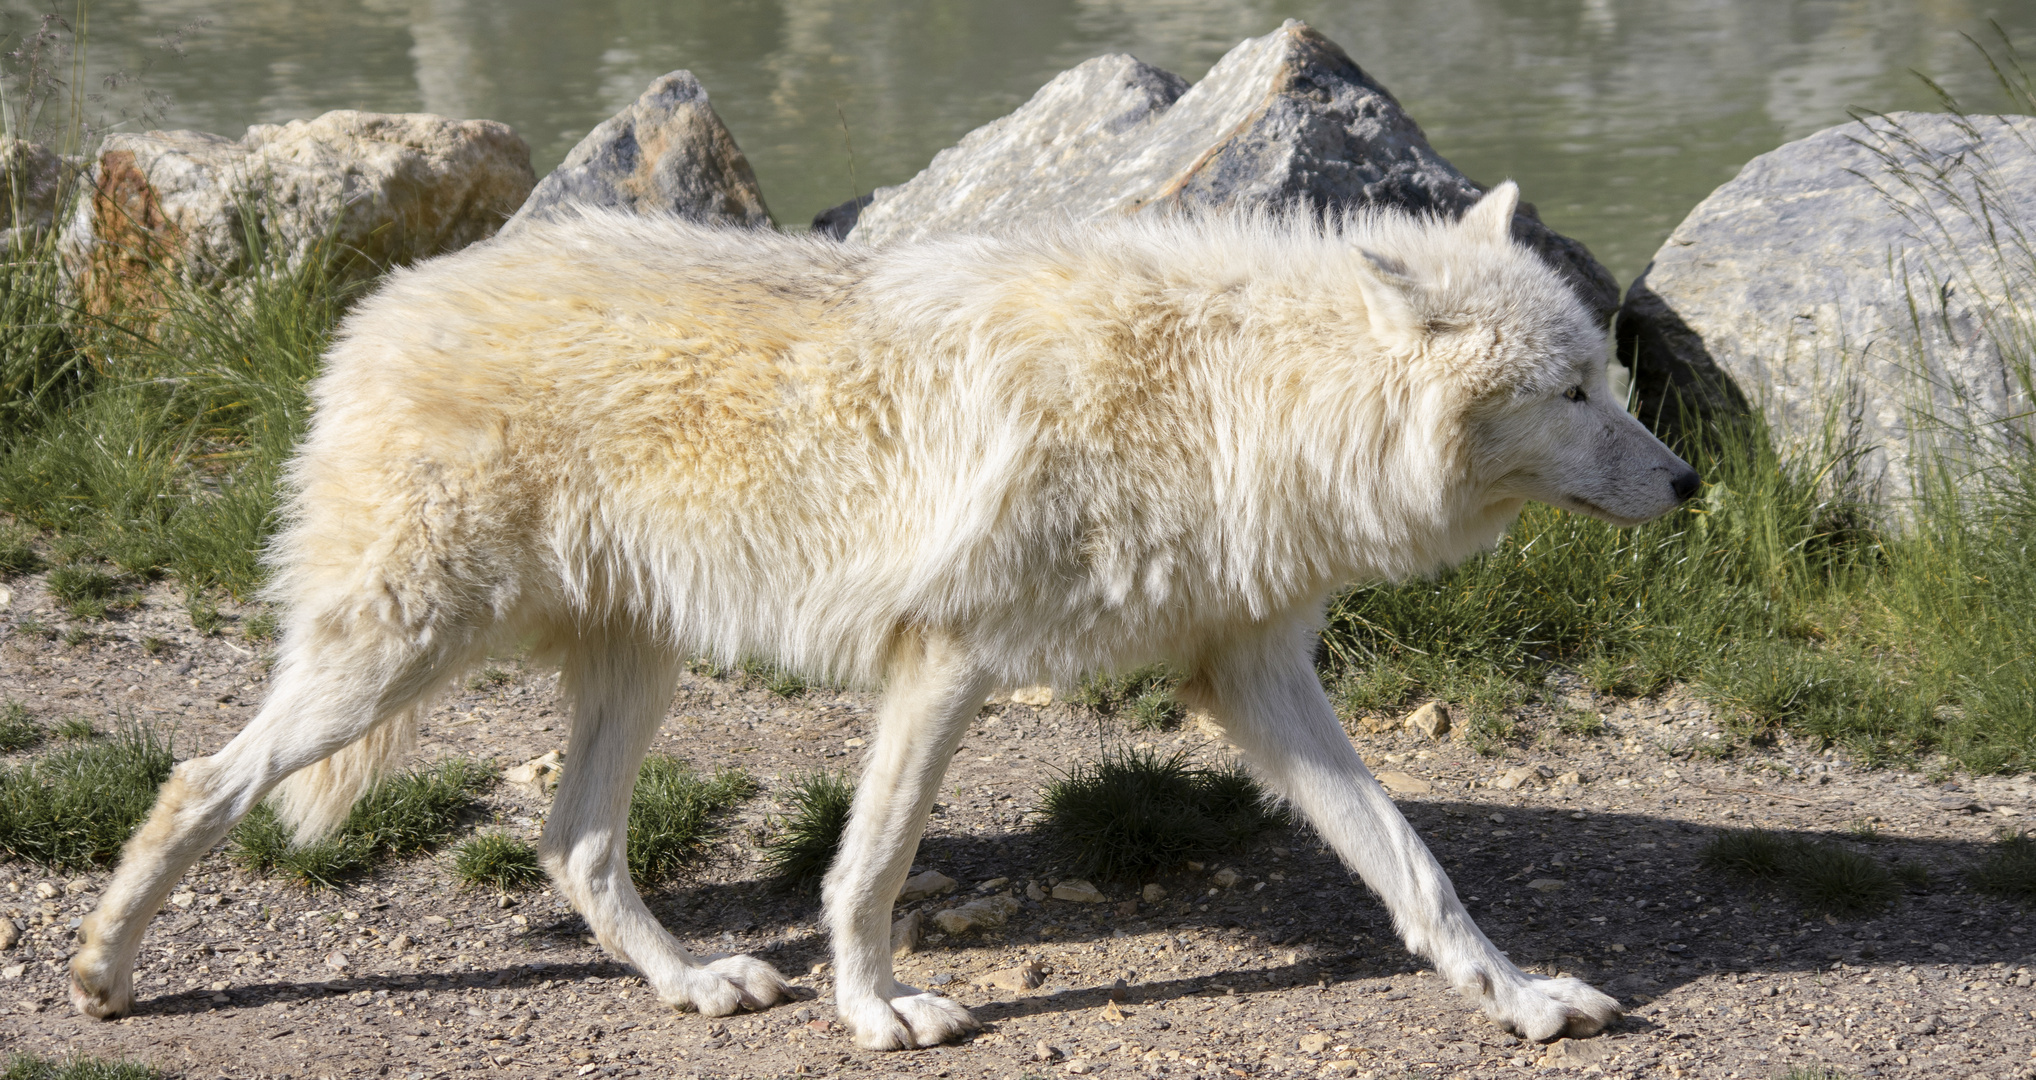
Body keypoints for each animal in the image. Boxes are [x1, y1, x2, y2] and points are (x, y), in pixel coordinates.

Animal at [71, 182, 1702, 1043]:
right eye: (1573, 393)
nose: (1691, 481)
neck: (1236, 396)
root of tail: (381, 304)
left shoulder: (1254, 680)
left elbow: (1416, 867)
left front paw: (1519, 999)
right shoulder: (949, 659)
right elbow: (870, 866)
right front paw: (877, 1013)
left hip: (634, 670)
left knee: (574, 843)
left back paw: (696, 984)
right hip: (398, 656)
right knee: (198, 782)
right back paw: (102, 973)